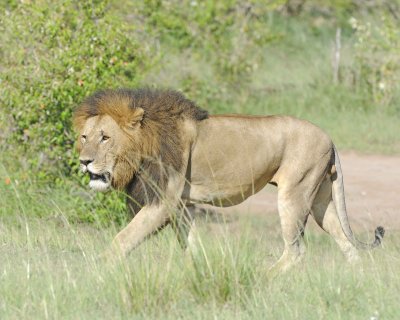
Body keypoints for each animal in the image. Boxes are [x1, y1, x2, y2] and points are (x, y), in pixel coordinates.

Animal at [72, 89, 384, 274]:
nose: (84, 161)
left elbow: (122, 239)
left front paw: (95, 270)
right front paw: (199, 272)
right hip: (320, 199)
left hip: (294, 193)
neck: (145, 143)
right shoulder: (181, 205)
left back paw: (264, 278)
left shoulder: (163, 201)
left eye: (105, 137)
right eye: (85, 137)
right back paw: (357, 280)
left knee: (295, 251)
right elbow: (191, 244)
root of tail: (329, 138)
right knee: (345, 242)